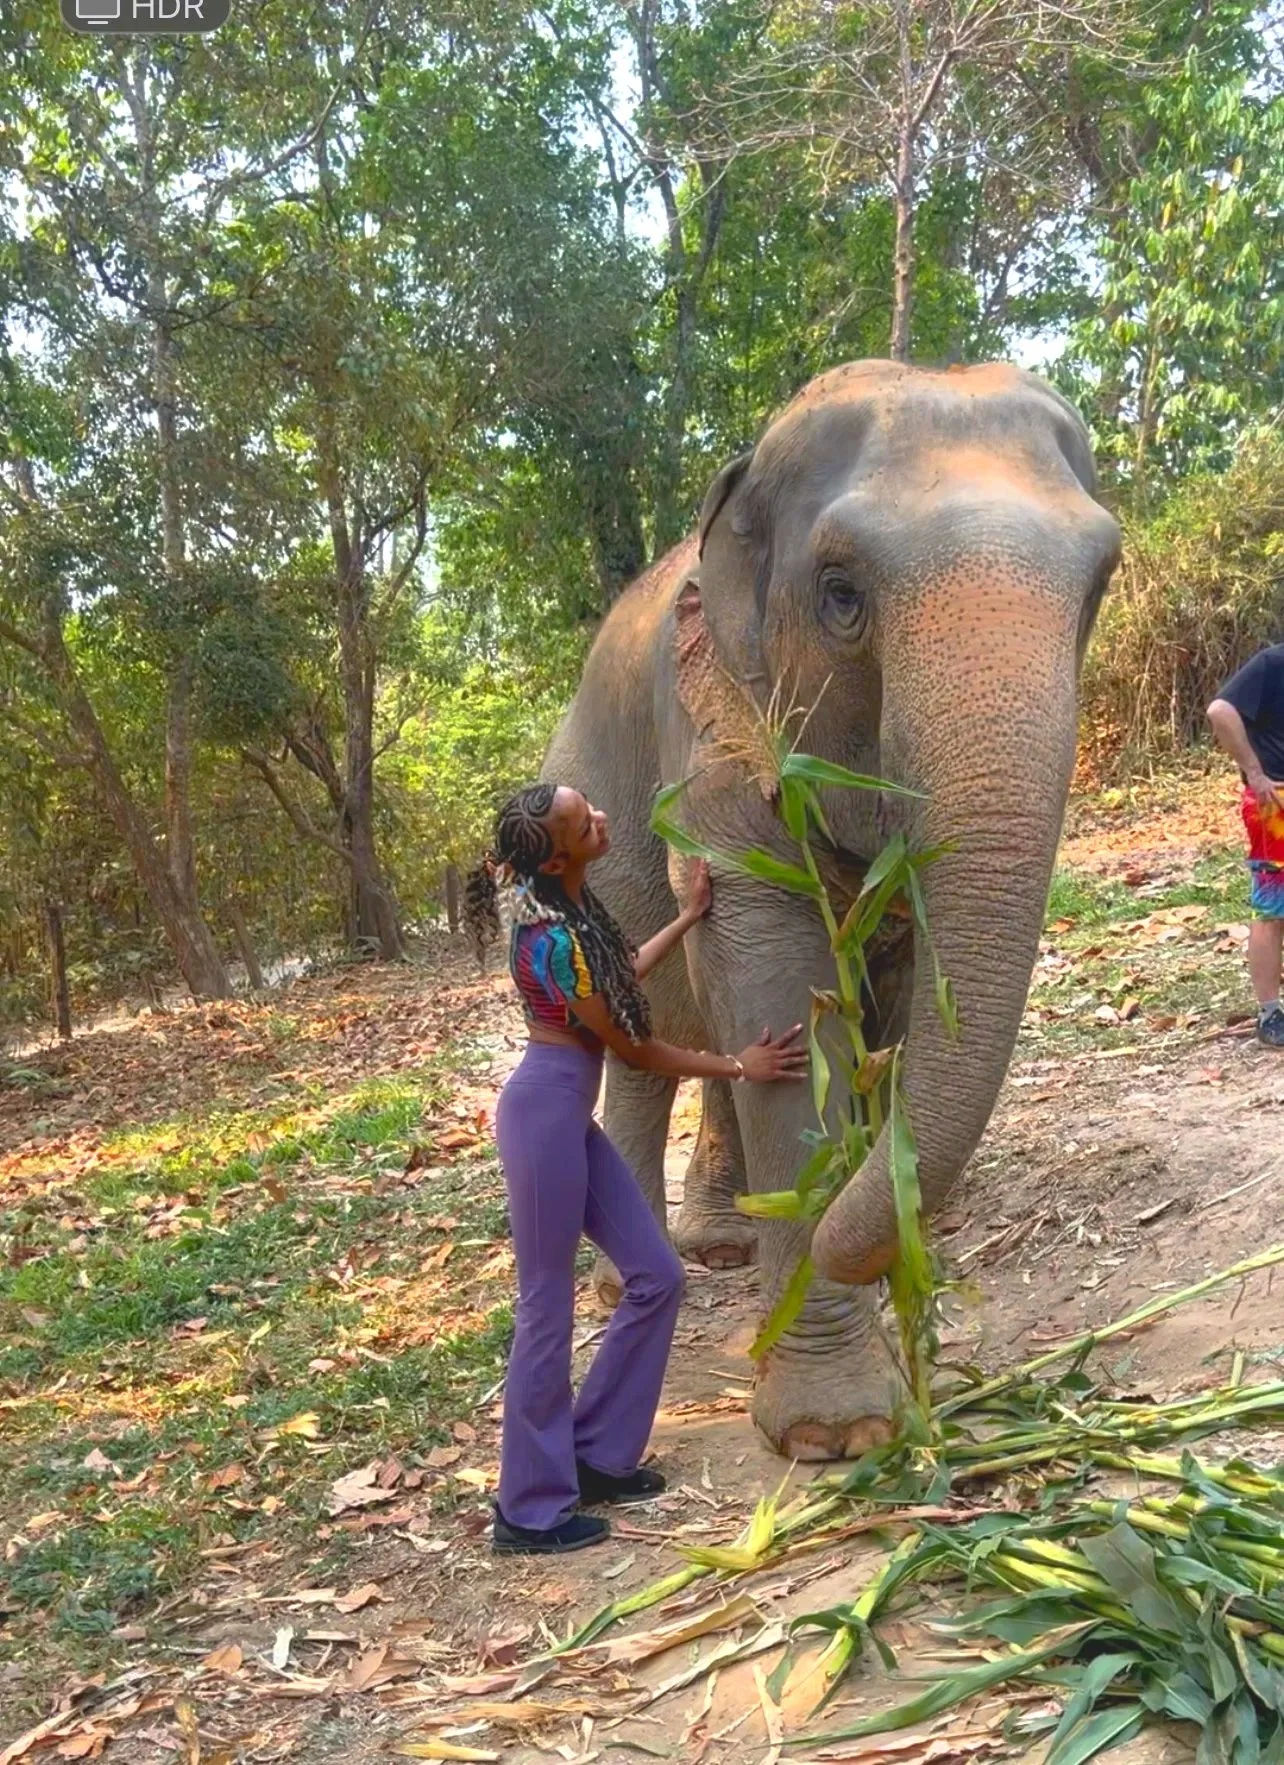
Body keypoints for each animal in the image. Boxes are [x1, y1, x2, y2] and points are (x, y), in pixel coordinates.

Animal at [540, 360, 1121, 1461]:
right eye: (841, 594)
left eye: (1100, 585)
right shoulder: (716, 734)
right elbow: (772, 977)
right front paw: (836, 1433)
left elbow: (881, 1003)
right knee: (643, 1049)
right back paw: (630, 1277)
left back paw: (724, 1243)